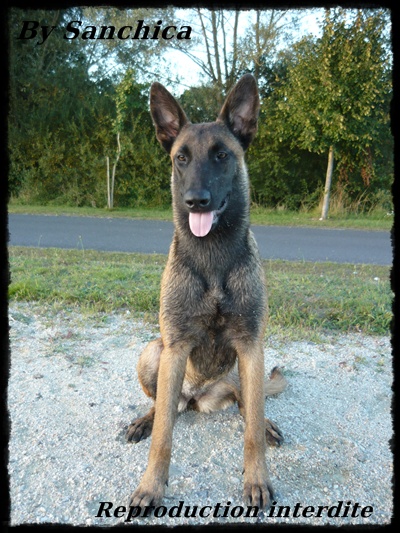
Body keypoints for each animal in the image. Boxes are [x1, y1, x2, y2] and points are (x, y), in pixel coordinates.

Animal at [126, 74, 286, 508]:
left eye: (221, 156)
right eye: (181, 158)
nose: (195, 201)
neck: (212, 257)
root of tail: (197, 396)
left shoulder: (251, 345)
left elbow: (251, 433)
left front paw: (257, 479)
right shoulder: (176, 346)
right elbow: (163, 438)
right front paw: (151, 486)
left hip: (245, 369)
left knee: (249, 407)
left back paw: (265, 422)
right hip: (155, 352)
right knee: (163, 407)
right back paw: (145, 419)